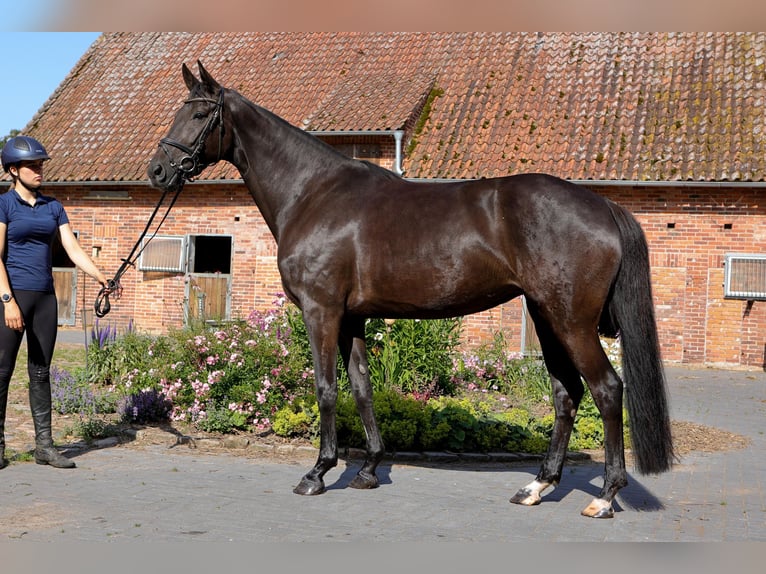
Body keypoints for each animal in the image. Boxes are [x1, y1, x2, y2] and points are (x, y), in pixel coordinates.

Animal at [148, 60, 672, 520]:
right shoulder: (352, 318)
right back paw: (537, 486)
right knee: (567, 394)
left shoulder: (321, 312)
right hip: (547, 318)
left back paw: (604, 497)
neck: (313, 193)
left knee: (607, 390)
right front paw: (369, 469)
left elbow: (326, 388)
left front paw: (318, 473)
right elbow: (362, 387)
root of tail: (602, 205)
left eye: (199, 114)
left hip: (571, 322)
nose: (157, 171)